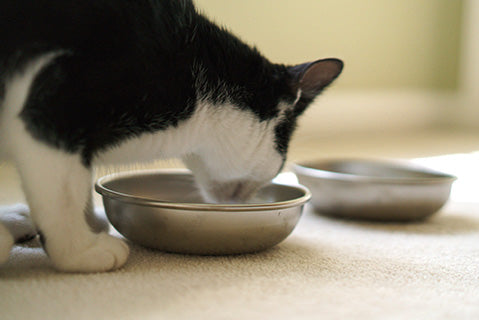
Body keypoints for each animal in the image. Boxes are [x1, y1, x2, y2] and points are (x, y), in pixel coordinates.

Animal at [0, 0, 344, 272]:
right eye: (283, 153)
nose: (242, 200)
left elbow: (79, 179)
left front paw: (91, 225)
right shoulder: (57, 104)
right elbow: (62, 194)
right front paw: (79, 250)